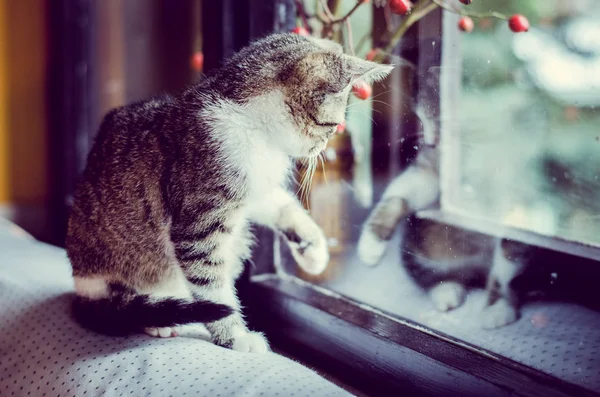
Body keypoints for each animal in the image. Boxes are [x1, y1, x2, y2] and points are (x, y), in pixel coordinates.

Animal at [67, 32, 394, 352]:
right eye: (332, 125)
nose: (322, 148)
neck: (255, 129)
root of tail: (82, 290)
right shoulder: (199, 222)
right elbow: (213, 287)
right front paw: (235, 336)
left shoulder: (254, 187)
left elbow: (281, 204)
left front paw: (313, 247)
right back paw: (158, 320)